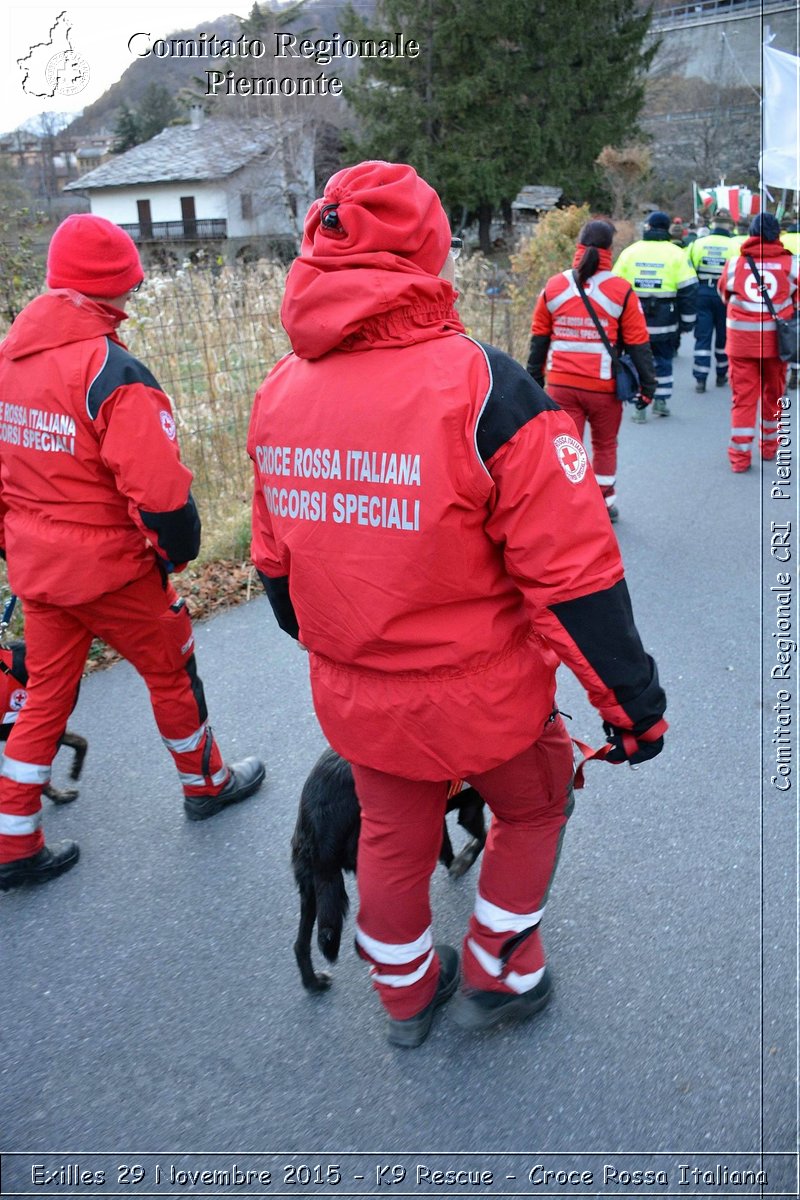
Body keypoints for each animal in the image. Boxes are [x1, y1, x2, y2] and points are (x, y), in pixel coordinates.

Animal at [291, 748, 484, 993]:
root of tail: (318, 820)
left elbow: (450, 848)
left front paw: (456, 862)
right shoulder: (471, 808)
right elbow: (481, 839)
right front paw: (463, 861)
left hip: (311, 888)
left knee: (300, 944)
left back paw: (313, 982)